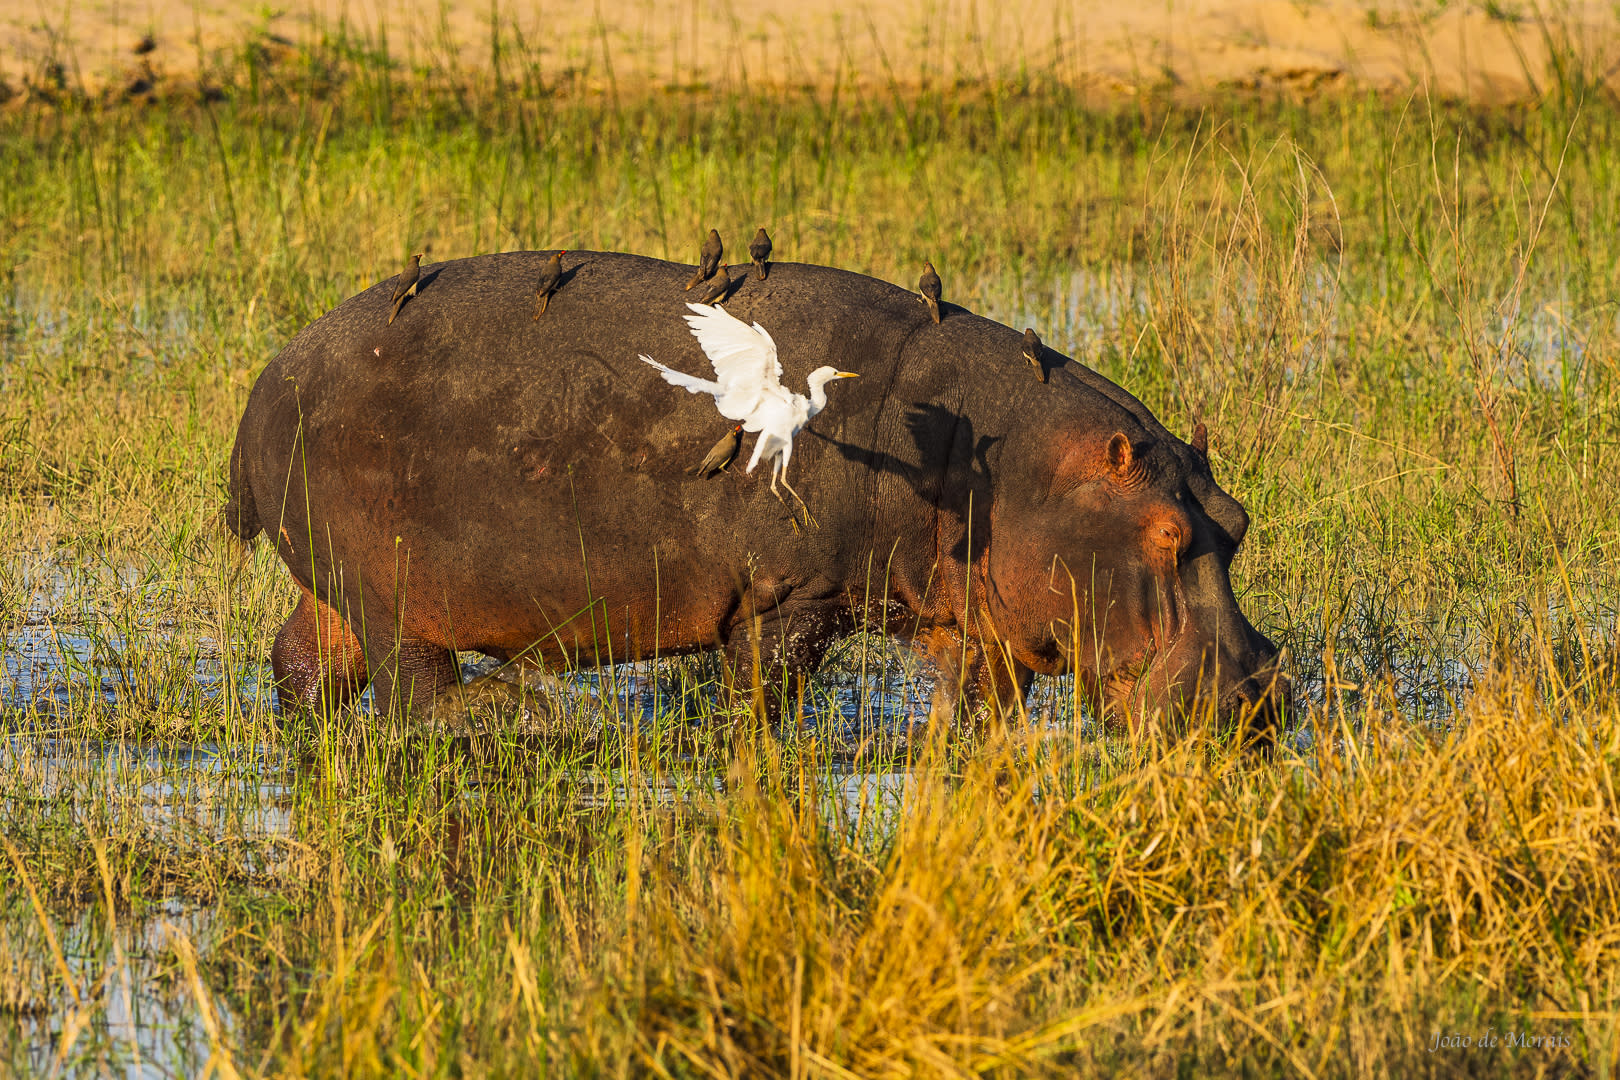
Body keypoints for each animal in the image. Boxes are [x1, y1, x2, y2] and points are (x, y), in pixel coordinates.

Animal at [225, 250, 1289, 738]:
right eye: (1165, 532)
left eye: (1235, 522)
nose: (1257, 694)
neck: (1014, 458)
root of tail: (269, 373)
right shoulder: (792, 598)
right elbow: (765, 696)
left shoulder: (973, 620)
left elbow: (978, 711)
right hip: (394, 593)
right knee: (415, 689)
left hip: (334, 587)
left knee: (306, 662)